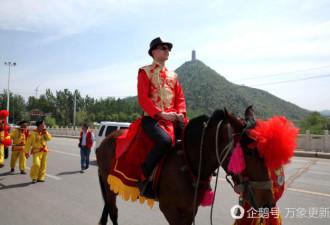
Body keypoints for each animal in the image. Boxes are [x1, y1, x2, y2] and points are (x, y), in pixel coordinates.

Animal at [96, 106, 276, 224]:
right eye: (248, 151)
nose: (268, 204)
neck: (189, 158)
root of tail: (105, 140)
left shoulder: (190, 208)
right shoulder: (170, 209)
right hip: (108, 184)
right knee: (113, 212)